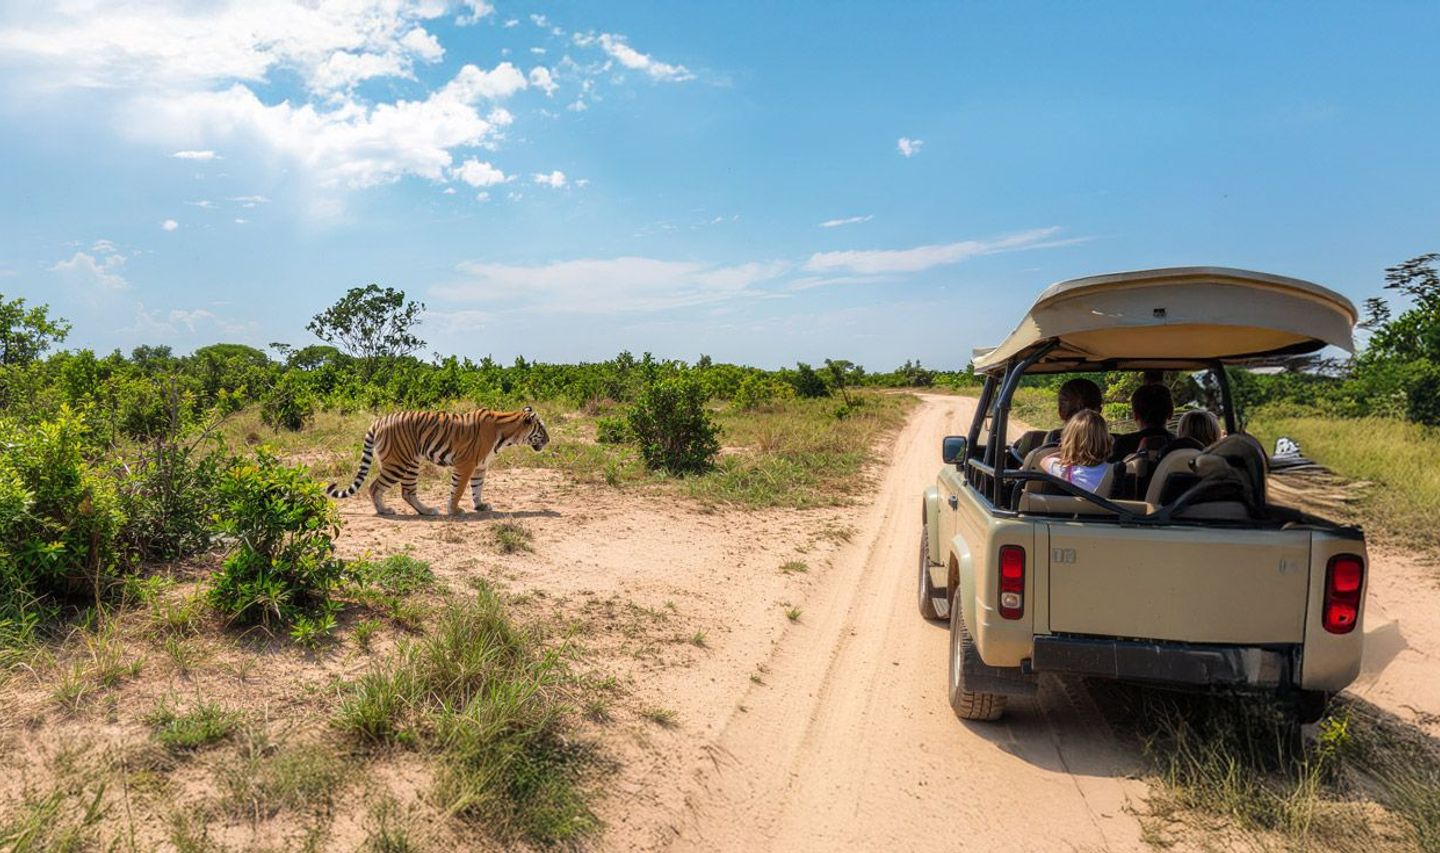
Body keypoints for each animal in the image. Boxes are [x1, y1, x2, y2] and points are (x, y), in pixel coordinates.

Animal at [325, 406, 550, 516]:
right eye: (542, 428)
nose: (548, 440)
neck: (507, 435)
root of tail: (379, 420)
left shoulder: (480, 466)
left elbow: (477, 488)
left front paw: (480, 506)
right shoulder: (465, 464)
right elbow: (458, 489)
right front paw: (455, 510)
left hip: (411, 463)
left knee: (407, 492)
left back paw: (426, 511)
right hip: (398, 463)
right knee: (375, 487)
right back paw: (385, 511)